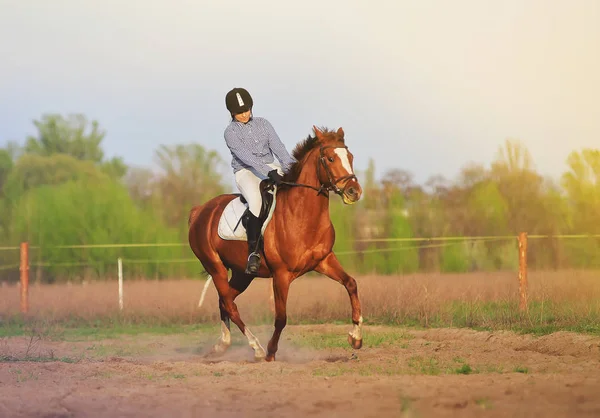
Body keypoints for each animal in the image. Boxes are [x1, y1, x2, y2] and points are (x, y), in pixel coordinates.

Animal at [190, 125, 364, 360]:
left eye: (350, 157)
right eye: (329, 159)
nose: (354, 192)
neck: (302, 216)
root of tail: (200, 210)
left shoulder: (324, 261)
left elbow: (351, 284)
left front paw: (355, 337)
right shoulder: (281, 275)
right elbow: (281, 317)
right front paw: (271, 352)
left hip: (242, 273)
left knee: (225, 302)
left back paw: (222, 344)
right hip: (215, 267)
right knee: (229, 303)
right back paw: (256, 347)